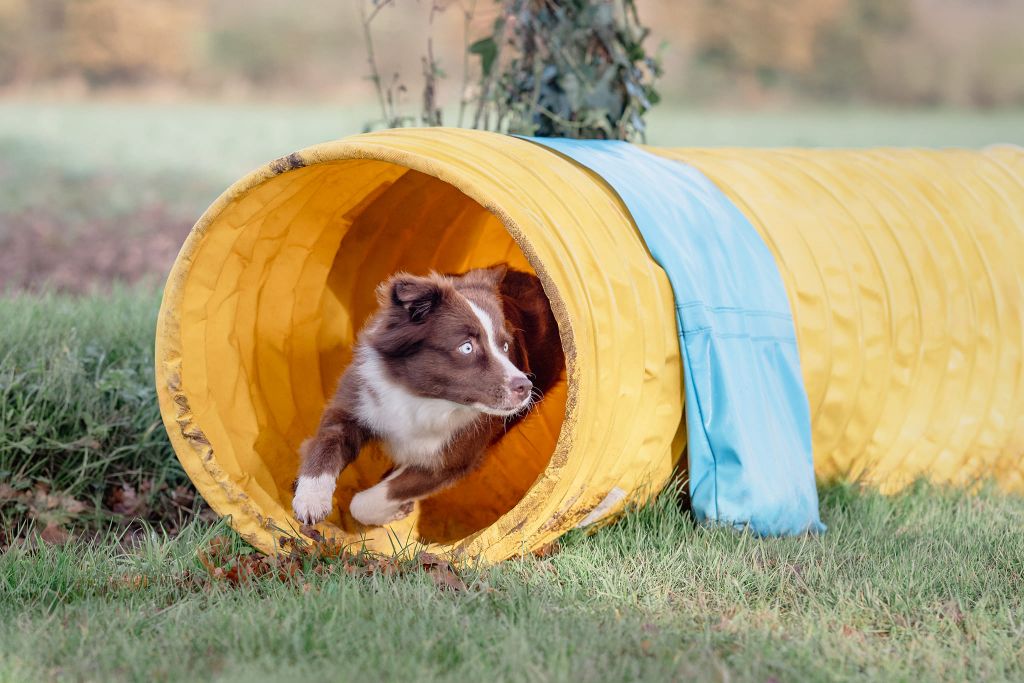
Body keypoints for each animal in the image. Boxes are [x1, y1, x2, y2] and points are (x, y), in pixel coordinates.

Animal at [290, 264, 561, 528]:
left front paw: (394, 511)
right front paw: (310, 499)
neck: (423, 396)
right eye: (466, 347)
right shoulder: (358, 399)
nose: (525, 387)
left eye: (505, 346)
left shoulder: (452, 461)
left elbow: (366, 502)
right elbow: (327, 441)